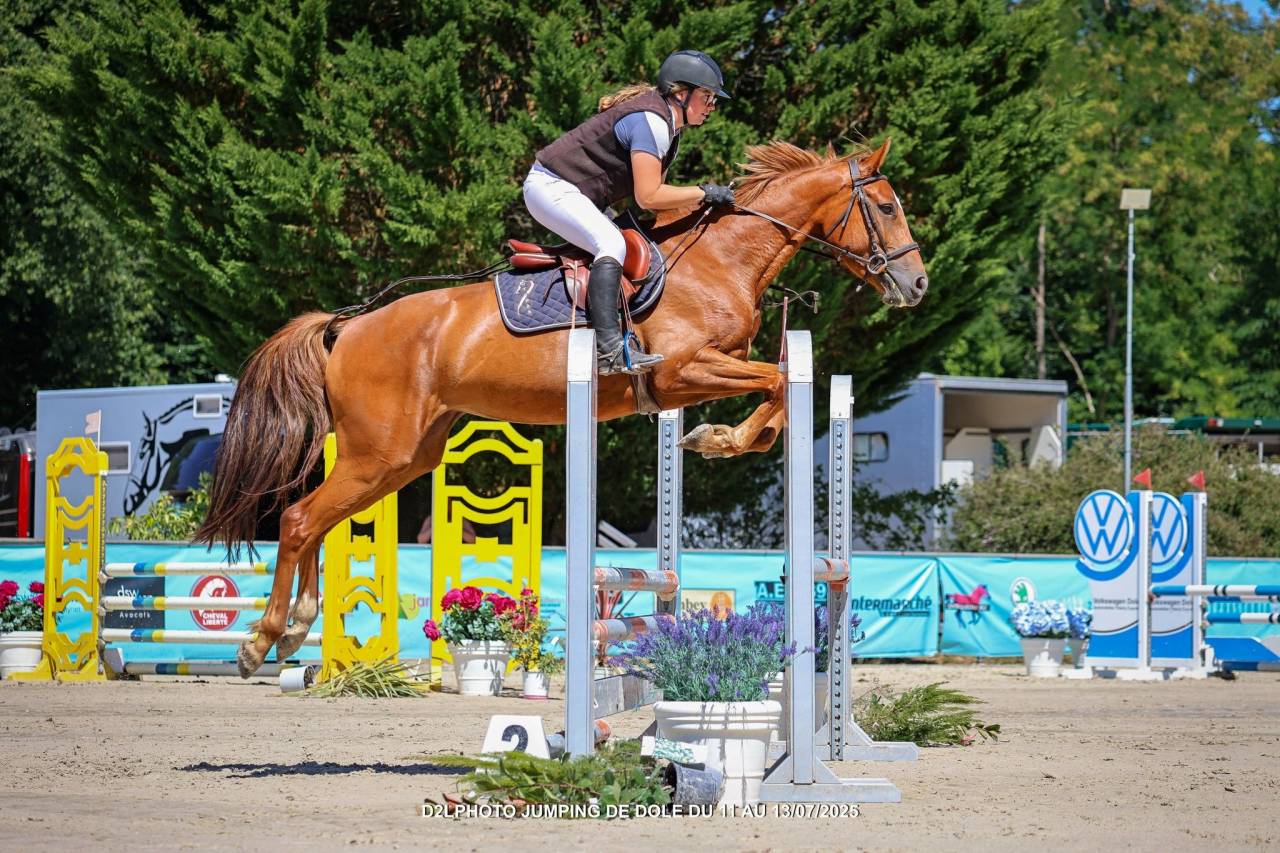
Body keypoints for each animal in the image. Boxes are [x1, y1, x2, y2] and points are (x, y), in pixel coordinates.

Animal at [195, 138, 930, 676]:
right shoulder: (681, 372)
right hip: (379, 452)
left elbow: (777, 389)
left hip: (402, 457)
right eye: (887, 205)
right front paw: (717, 438)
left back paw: (294, 629)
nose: (917, 283)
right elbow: (776, 379)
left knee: (314, 521)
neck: (719, 261)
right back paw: (261, 640)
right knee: (299, 519)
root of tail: (347, 327)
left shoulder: (697, 375)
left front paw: (714, 438)